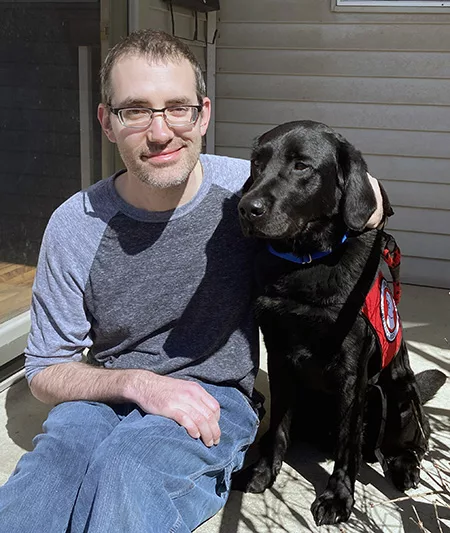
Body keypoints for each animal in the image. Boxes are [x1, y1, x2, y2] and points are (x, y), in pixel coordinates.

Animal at [234, 119, 444, 524]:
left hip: (395, 393)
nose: (245, 208)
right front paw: (263, 472)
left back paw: (404, 465)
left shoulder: (352, 372)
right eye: (256, 163)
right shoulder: (279, 356)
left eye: (301, 166)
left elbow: (348, 442)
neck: (306, 262)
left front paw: (337, 497)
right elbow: (279, 427)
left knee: (412, 441)